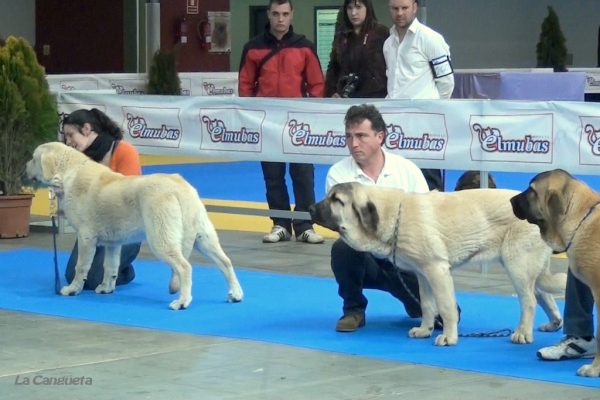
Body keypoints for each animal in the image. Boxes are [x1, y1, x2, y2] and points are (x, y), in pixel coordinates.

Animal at [23, 142, 244, 310]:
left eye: (33, 159)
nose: (24, 167)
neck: (70, 173)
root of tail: (181, 187)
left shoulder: (86, 237)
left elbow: (81, 266)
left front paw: (72, 289)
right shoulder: (113, 244)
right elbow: (110, 266)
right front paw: (106, 288)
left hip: (161, 240)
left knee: (184, 267)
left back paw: (182, 301)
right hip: (203, 237)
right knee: (225, 262)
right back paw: (235, 294)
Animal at [310, 183, 568, 346]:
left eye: (336, 200)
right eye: (328, 195)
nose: (311, 208)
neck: (393, 215)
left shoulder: (437, 271)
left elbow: (445, 307)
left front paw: (449, 337)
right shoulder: (423, 275)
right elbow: (427, 305)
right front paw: (425, 329)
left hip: (517, 265)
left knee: (529, 301)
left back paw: (522, 333)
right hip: (524, 268)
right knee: (545, 295)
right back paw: (553, 324)